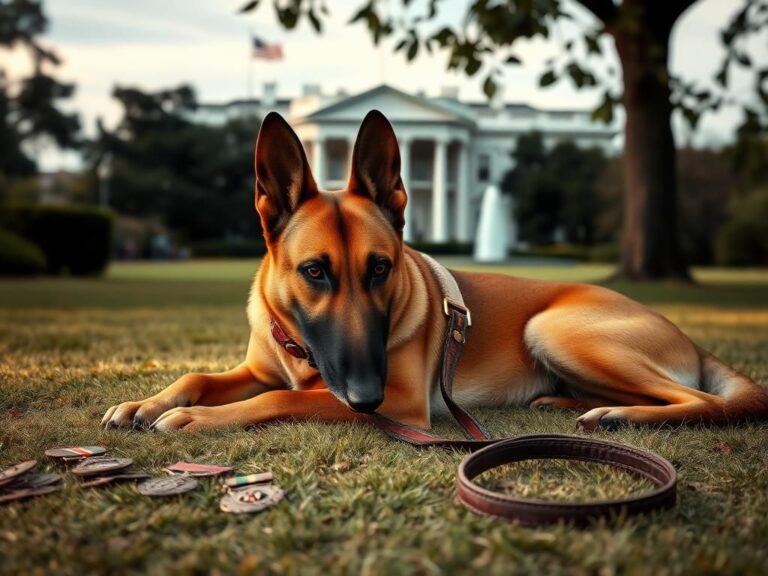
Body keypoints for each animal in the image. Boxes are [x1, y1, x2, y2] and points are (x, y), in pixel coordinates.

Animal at [102, 109, 768, 432]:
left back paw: (622, 416)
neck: (301, 347)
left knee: (703, 403)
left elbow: (276, 400)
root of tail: (690, 339)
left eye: (382, 269)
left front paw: (196, 417)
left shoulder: (397, 400)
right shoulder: (257, 367)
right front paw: (148, 403)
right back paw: (559, 404)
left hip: (555, 328)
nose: (364, 395)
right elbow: (202, 374)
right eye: (313, 271)